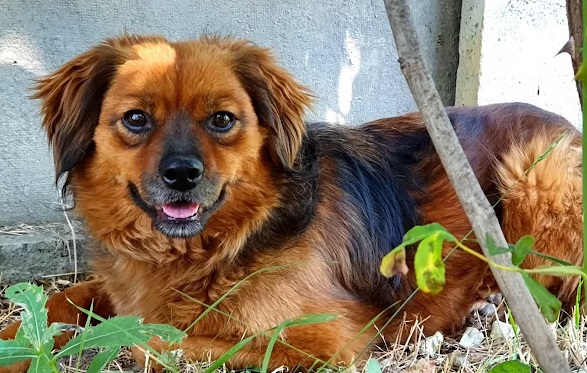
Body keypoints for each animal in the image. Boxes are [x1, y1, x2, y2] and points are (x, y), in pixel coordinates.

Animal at [0, 34, 584, 370]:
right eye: (136, 119)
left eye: (222, 120)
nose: (182, 176)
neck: (205, 251)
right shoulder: (127, 290)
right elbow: (64, 300)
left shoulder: (326, 339)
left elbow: (159, 343)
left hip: (539, 171)